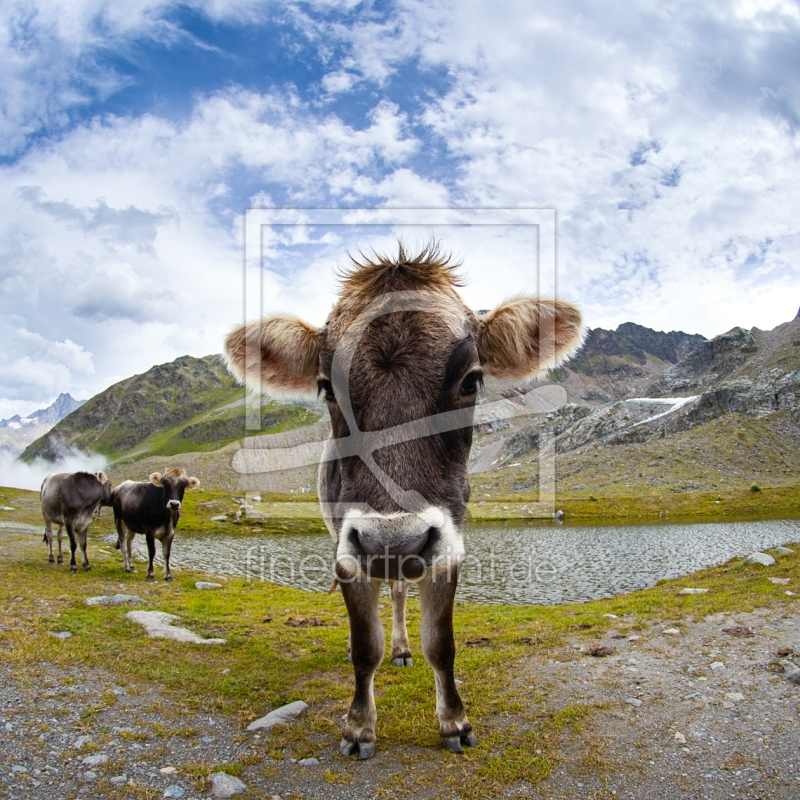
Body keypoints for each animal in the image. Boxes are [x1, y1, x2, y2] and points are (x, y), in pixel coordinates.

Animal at [223, 241, 580, 760]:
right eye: (327, 388)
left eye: (471, 379)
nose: (394, 543)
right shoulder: (347, 551)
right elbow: (364, 647)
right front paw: (359, 727)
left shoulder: (448, 547)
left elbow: (442, 644)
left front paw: (455, 722)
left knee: (396, 592)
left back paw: (403, 648)